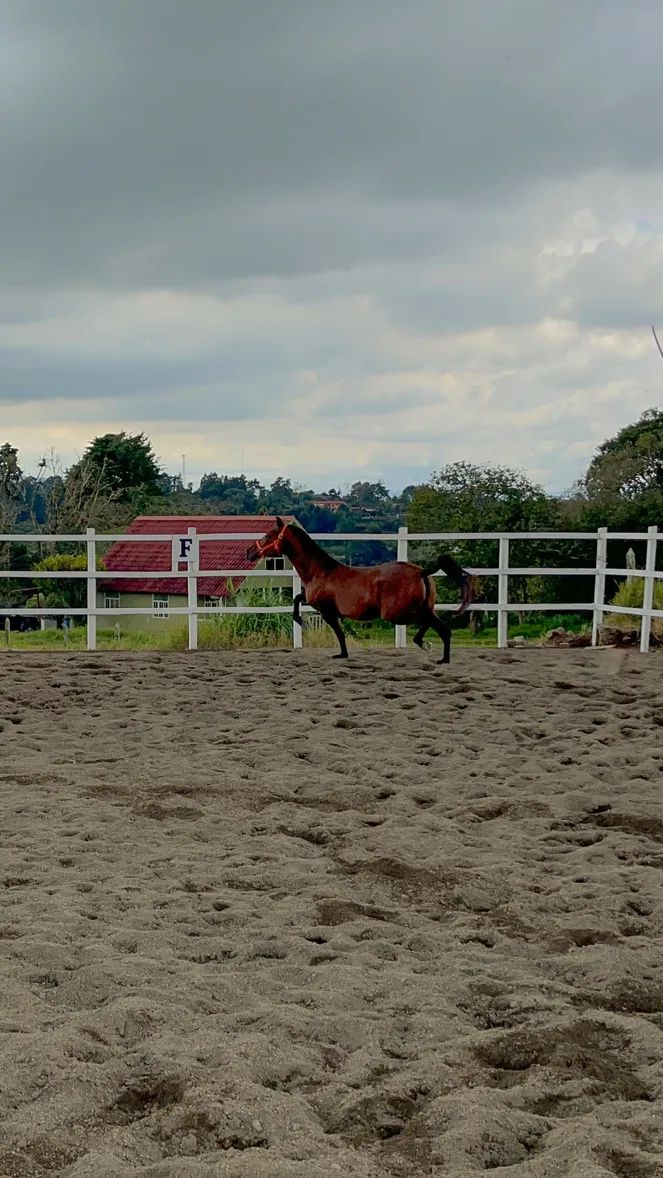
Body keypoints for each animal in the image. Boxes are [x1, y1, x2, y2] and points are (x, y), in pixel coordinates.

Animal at [246, 517, 475, 663]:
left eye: (270, 534)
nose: (250, 552)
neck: (321, 571)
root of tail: (421, 571)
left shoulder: (326, 611)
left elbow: (338, 632)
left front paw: (340, 652)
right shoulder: (316, 602)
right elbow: (297, 597)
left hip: (398, 612)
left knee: (432, 624)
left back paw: (425, 645)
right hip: (423, 608)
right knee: (442, 628)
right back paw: (442, 658)